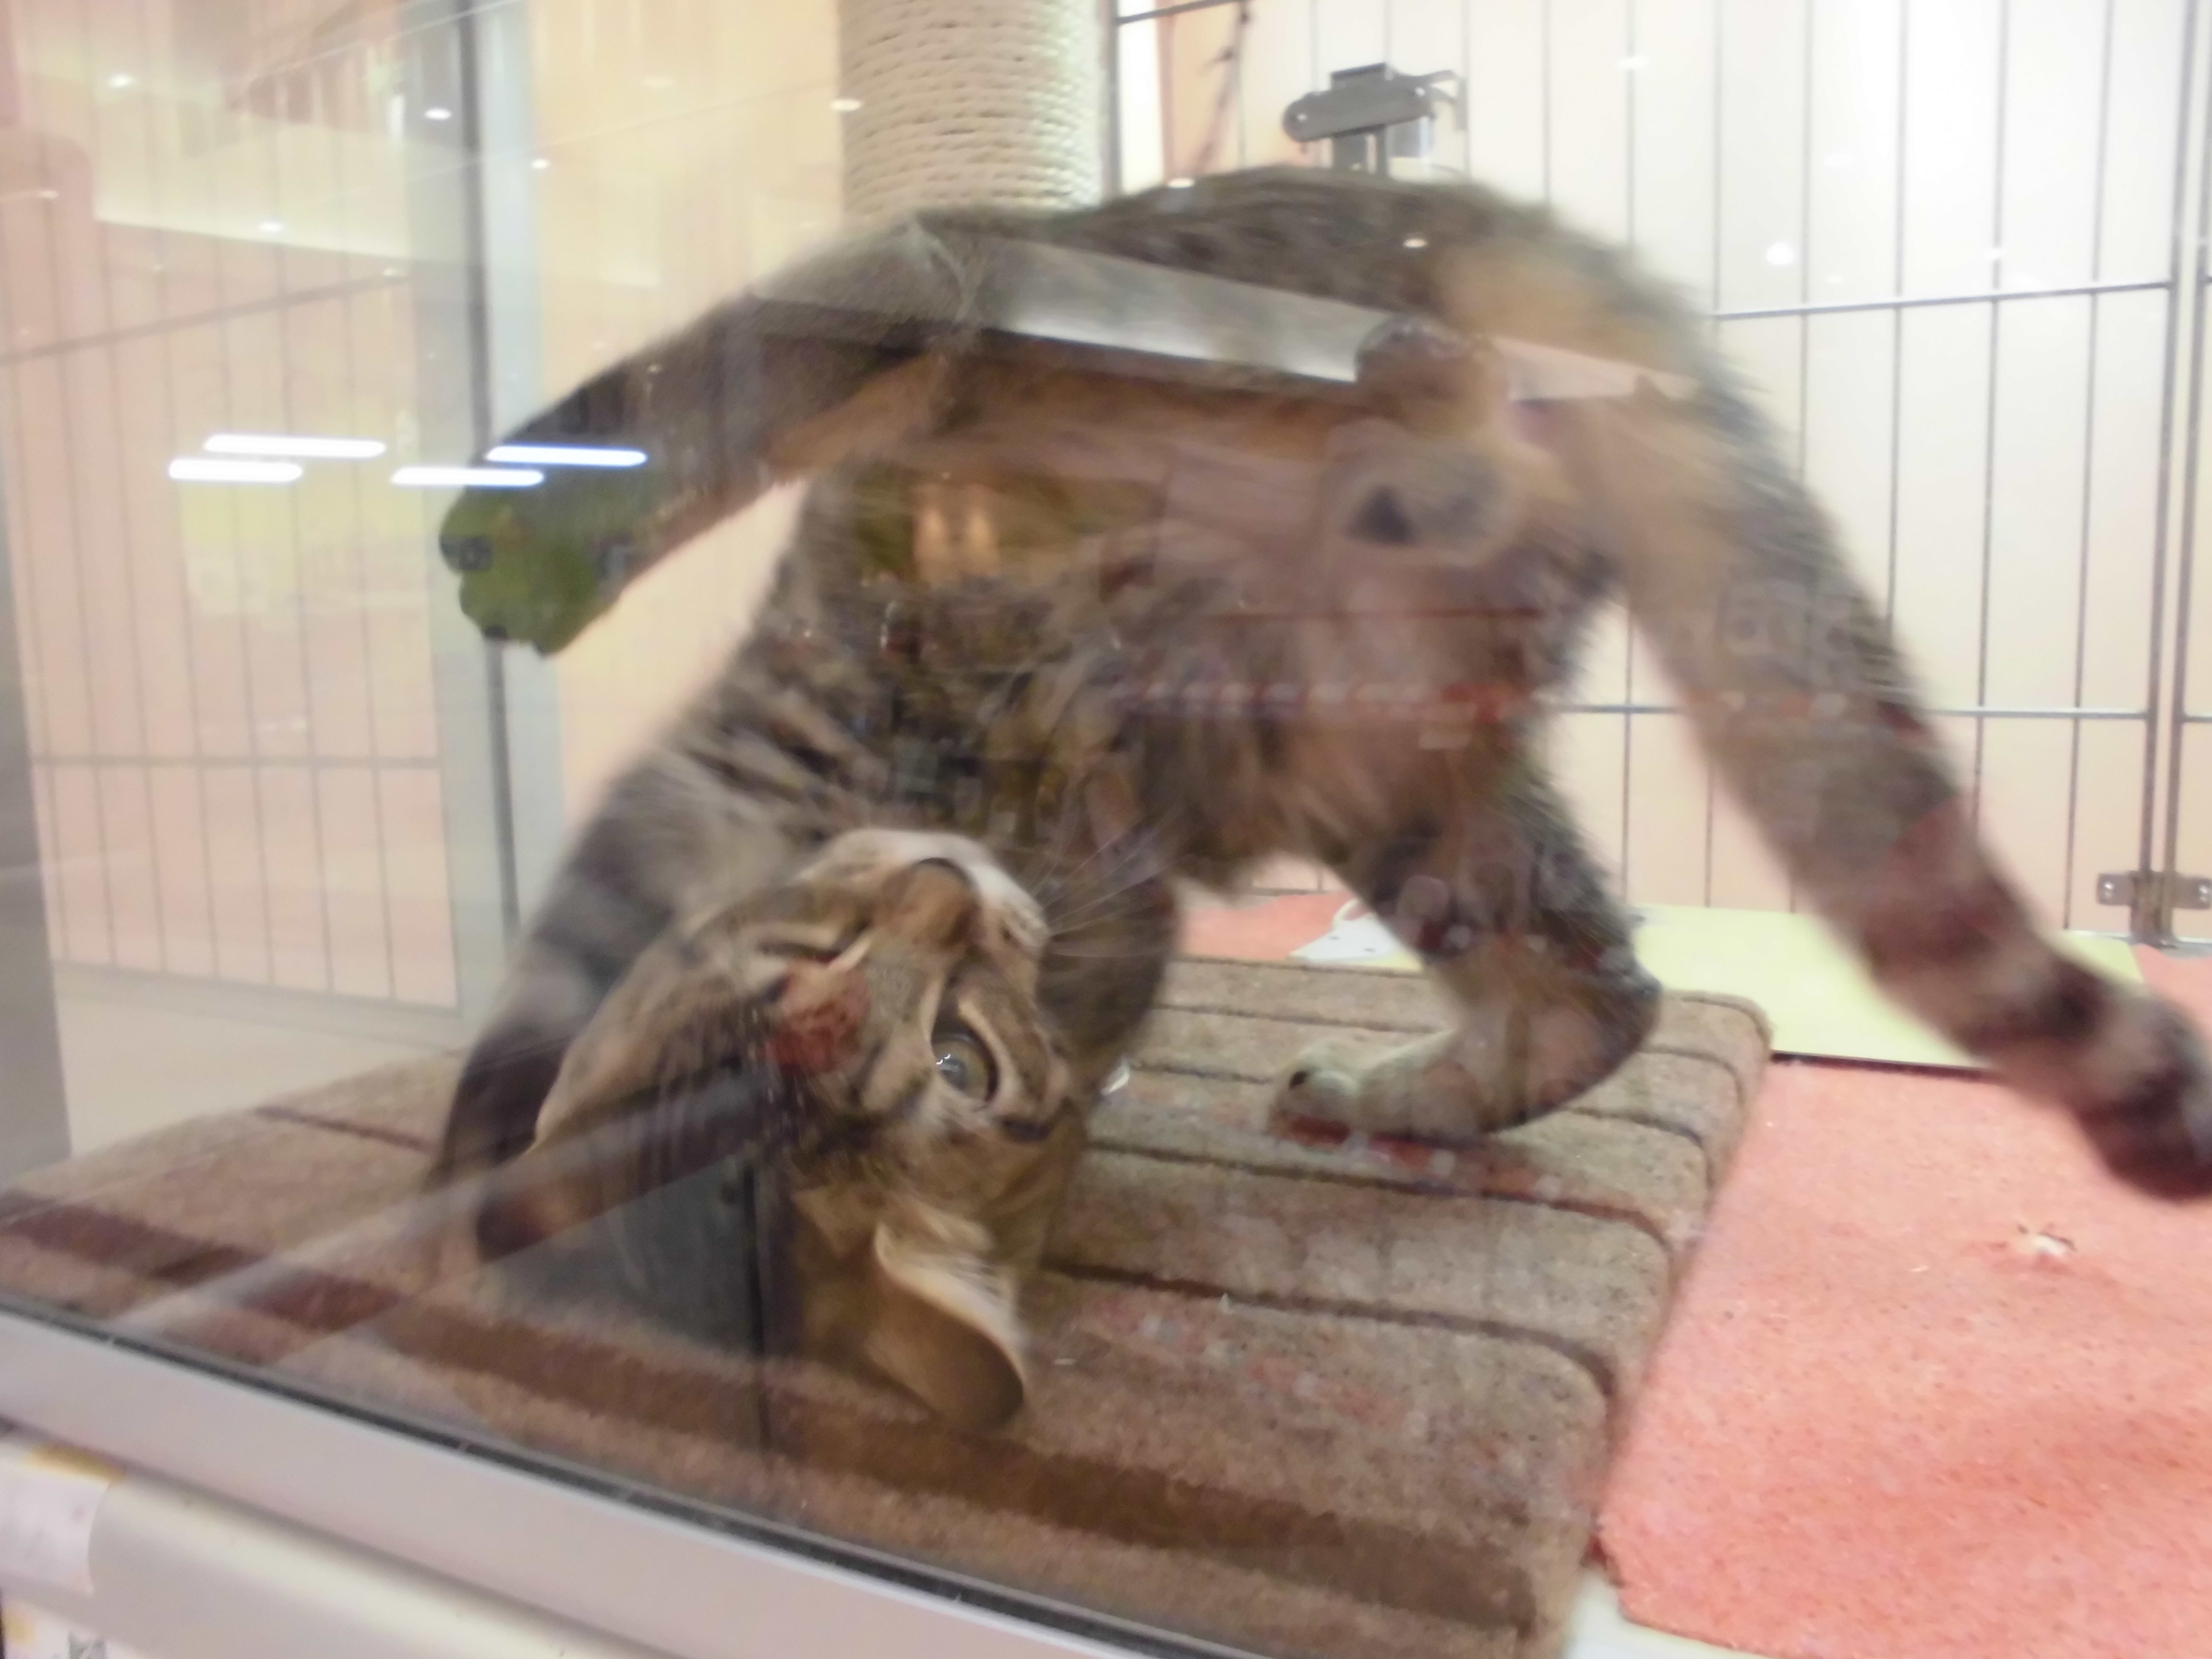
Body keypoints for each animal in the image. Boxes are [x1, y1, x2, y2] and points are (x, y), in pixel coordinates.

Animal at [429, 164, 2212, 1265]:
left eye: (966, 1052)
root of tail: (1477, 217)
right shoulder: (727, 786)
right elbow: (568, 964)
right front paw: (494, 1130)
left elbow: (706, 388)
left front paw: (548, 513)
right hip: (1374, 757)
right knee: (1597, 984)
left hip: (1170, 377)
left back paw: (1432, 404)